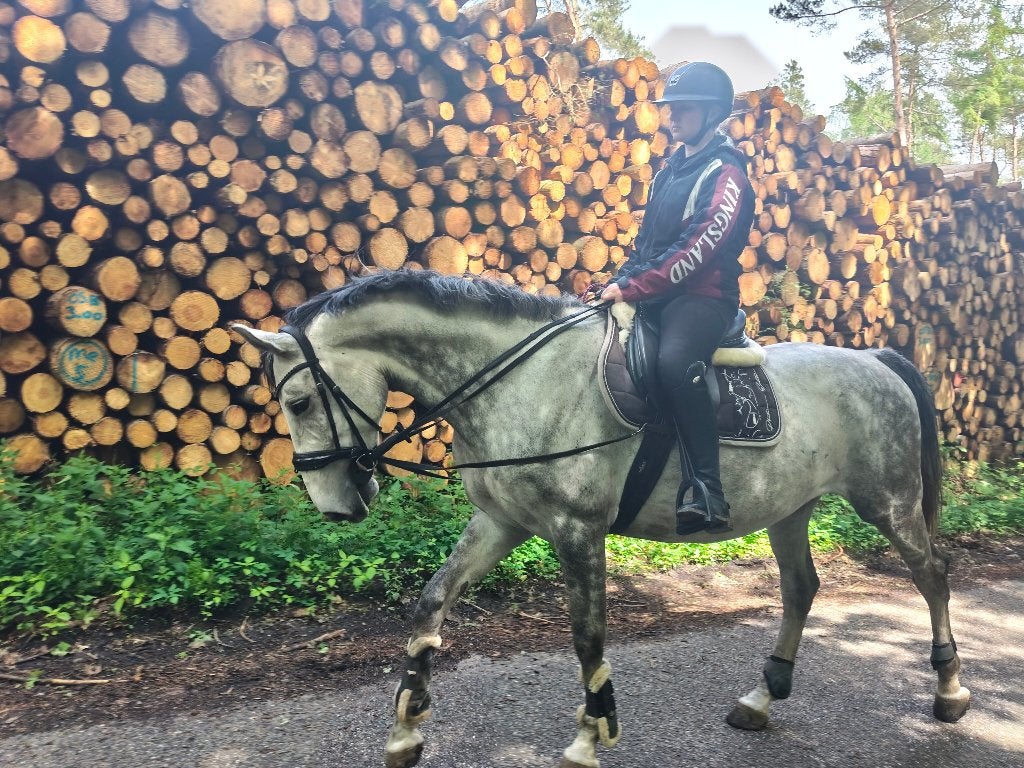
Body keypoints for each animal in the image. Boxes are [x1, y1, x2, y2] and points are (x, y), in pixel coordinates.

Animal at [234, 269, 971, 768]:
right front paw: (405, 729)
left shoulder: (575, 529)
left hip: (888, 502)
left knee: (934, 573)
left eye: (299, 400)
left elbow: (588, 637)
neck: (520, 381)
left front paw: (590, 738)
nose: (336, 505)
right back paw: (761, 698)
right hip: (790, 509)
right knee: (801, 588)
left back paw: (951, 690)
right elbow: (431, 603)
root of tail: (876, 359)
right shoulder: (500, 523)